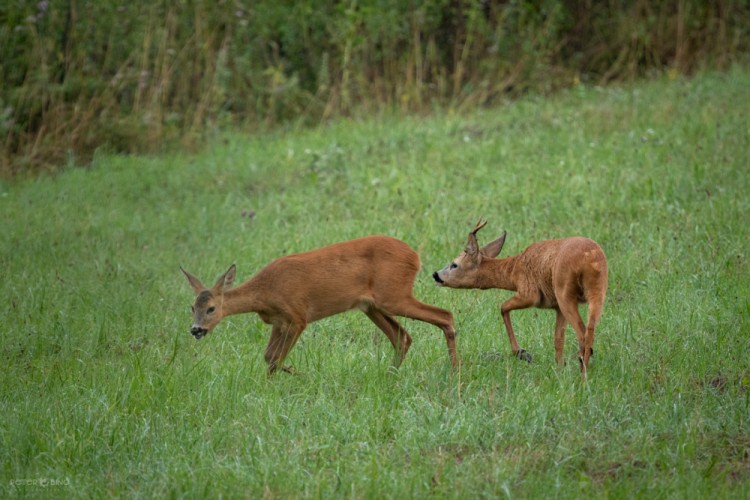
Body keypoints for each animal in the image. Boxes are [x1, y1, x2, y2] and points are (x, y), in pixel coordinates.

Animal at [181, 236, 458, 374]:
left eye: (211, 308)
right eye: (192, 308)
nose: (196, 330)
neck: (265, 291)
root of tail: (415, 257)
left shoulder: (297, 317)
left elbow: (276, 358)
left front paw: (293, 377)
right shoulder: (279, 322)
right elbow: (268, 356)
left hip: (393, 295)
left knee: (445, 314)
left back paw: (454, 372)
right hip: (372, 305)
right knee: (402, 337)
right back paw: (389, 375)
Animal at [432, 221, 608, 376]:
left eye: (454, 264)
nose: (436, 275)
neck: (514, 270)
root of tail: (590, 257)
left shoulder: (530, 294)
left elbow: (503, 307)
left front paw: (521, 353)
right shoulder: (557, 307)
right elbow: (558, 340)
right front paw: (559, 369)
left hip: (565, 293)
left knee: (583, 334)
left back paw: (583, 376)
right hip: (597, 292)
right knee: (589, 330)